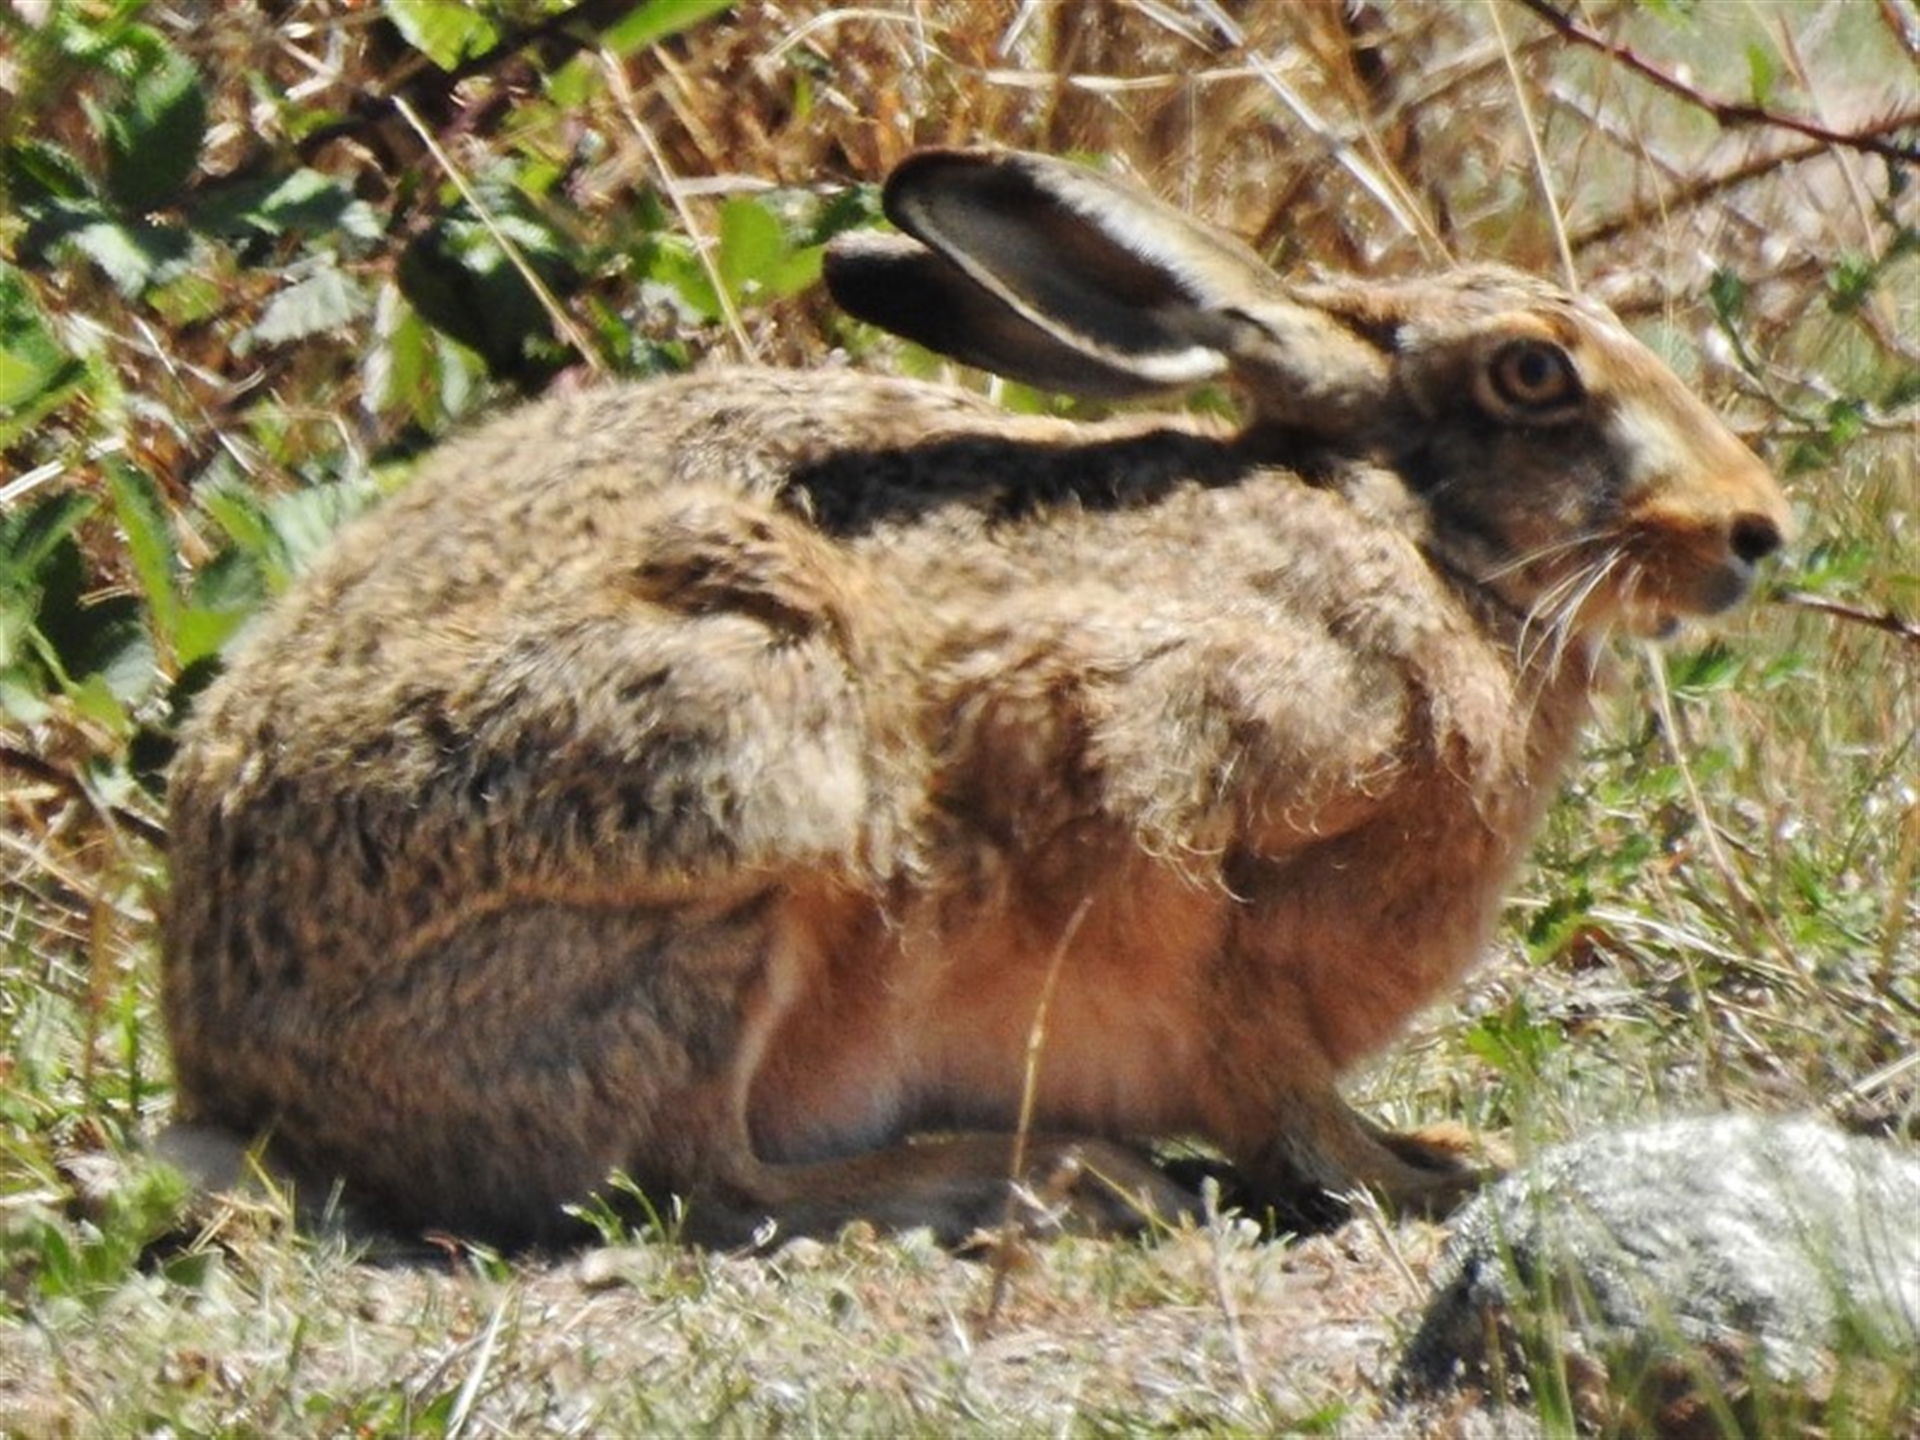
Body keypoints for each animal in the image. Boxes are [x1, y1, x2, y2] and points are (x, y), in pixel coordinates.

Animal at [160, 147, 1791, 1249]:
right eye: (1533, 376)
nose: (1756, 531)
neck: (1407, 529)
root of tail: (245, 1071)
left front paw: (1430, 1147)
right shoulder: (1181, 801)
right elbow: (1268, 1073)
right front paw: (1410, 1178)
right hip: (736, 802)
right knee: (702, 1178)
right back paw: (1037, 1178)